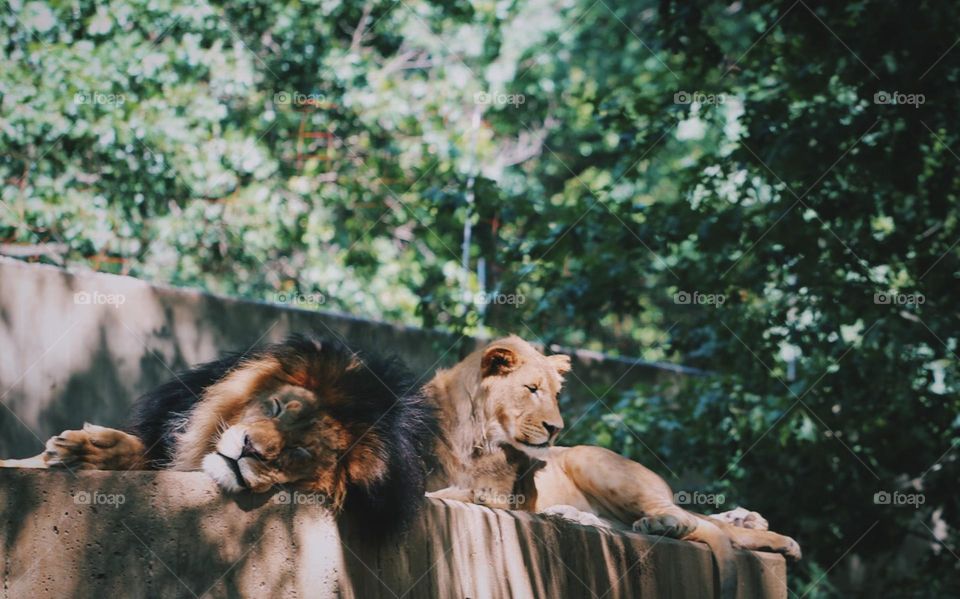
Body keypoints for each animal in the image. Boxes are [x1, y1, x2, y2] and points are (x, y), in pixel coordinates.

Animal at [423, 335, 801, 598]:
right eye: (531, 389)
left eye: (555, 394)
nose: (555, 428)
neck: (476, 434)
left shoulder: (500, 494)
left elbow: (451, 492)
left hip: (590, 461)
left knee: (691, 520)